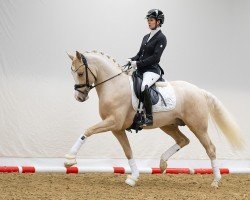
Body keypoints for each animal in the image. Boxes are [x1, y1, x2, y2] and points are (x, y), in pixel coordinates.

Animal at [64, 50, 244, 188]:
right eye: (72, 73)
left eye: (80, 73)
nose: (79, 97)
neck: (114, 86)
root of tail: (199, 91)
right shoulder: (117, 128)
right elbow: (128, 151)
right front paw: (133, 178)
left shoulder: (113, 122)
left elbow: (88, 130)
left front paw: (70, 159)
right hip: (168, 125)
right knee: (183, 140)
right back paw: (162, 163)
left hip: (197, 126)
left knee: (210, 149)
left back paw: (216, 181)